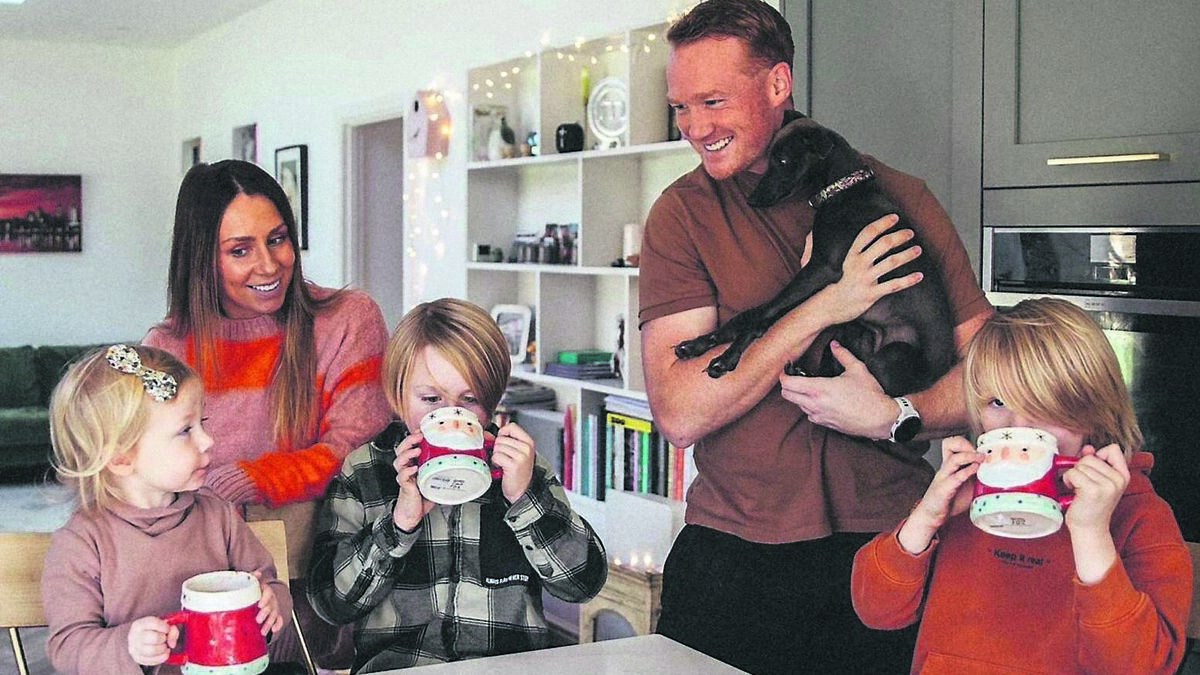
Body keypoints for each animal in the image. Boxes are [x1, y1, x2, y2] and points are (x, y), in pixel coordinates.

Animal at [672, 112, 956, 397]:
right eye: (768, 158)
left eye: (783, 160)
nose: (751, 200)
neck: (844, 190)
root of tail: (941, 370)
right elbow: (750, 314)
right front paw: (698, 344)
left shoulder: (821, 268)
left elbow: (762, 315)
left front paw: (726, 359)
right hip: (850, 331)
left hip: (893, 357)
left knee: (852, 382)